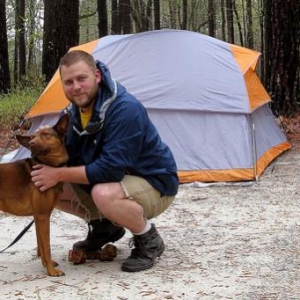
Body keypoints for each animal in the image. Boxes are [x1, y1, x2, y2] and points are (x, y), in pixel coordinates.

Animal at [0, 114, 68, 276]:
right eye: (32, 137)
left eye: (45, 134)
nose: (31, 143)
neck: (47, 165)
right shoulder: (43, 216)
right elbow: (47, 246)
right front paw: (51, 271)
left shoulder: (38, 216)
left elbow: (41, 245)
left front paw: (46, 264)